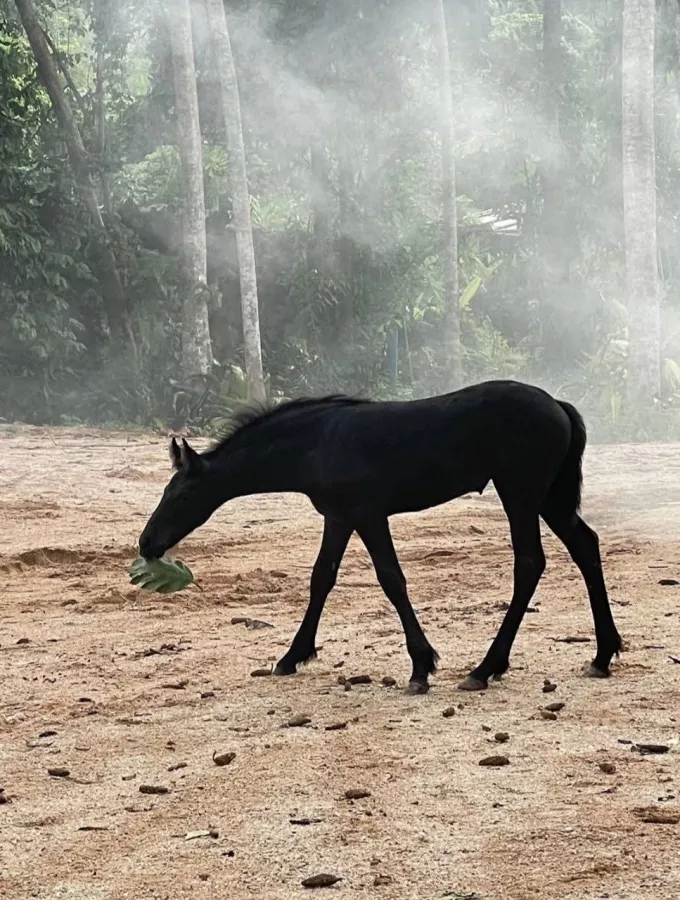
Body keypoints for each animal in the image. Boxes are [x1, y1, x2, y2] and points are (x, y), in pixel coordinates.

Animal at [138, 380, 622, 694]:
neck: (317, 442)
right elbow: (321, 579)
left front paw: (421, 666)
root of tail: (557, 404)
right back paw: (602, 655)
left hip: (520, 494)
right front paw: (292, 656)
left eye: (180, 494)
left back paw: (485, 668)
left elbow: (391, 579)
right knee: (585, 546)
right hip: (550, 498)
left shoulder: (369, 516)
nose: (147, 543)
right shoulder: (339, 518)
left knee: (530, 563)